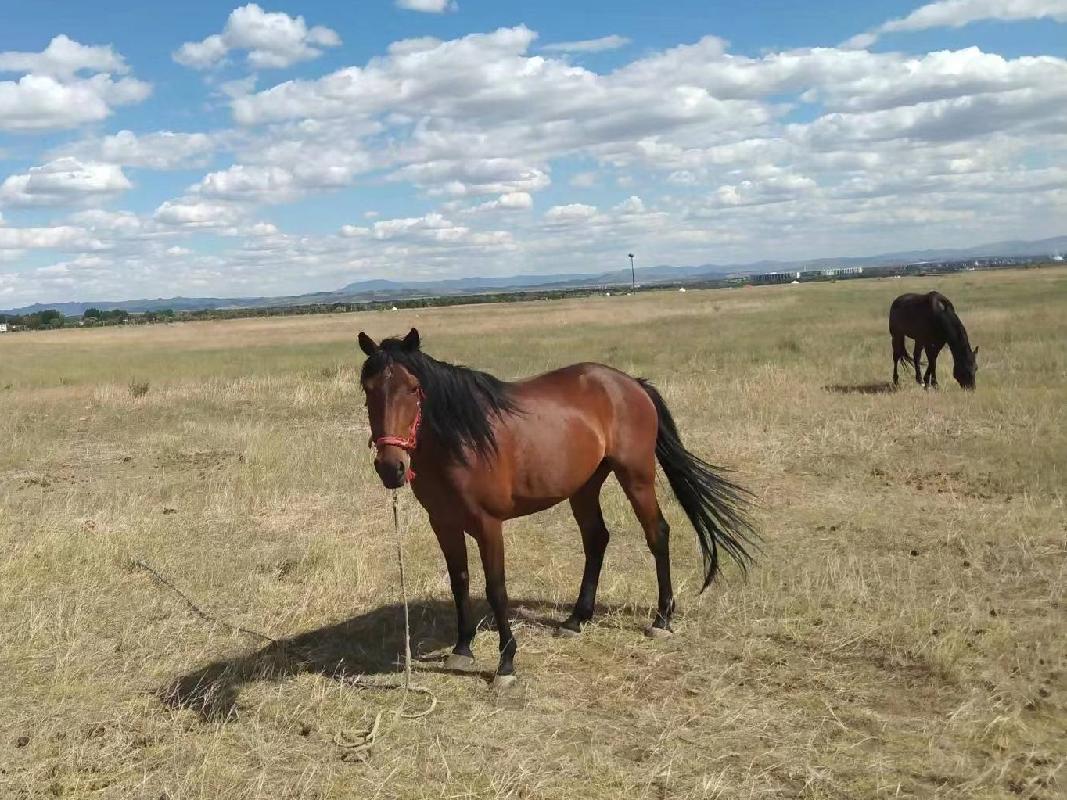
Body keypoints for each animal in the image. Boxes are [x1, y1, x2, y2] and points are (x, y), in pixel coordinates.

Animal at [357, 328, 756, 689]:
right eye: (368, 389)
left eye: (413, 388)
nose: (391, 468)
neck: (461, 439)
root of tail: (631, 384)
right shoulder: (443, 523)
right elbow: (460, 581)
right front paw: (462, 647)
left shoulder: (488, 525)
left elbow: (496, 588)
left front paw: (506, 664)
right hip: (584, 486)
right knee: (597, 539)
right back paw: (577, 620)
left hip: (637, 477)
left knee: (657, 533)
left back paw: (661, 620)